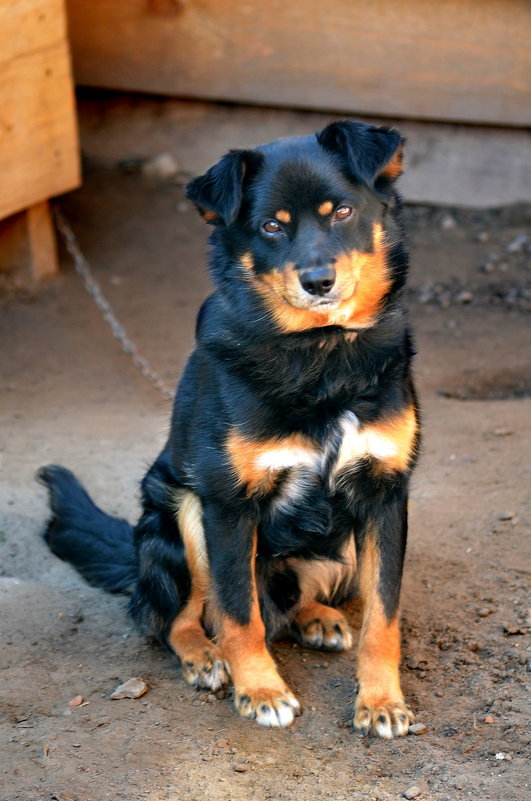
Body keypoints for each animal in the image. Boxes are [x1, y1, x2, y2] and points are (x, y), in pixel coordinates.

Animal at [38, 120, 420, 736]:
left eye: (341, 212)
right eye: (271, 226)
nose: (319, 281)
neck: (323, 355)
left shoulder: (384, 496)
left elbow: (383, 619)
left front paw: (382, 701)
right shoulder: (227, 504)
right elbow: (241, 613)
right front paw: (260, 690)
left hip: (340, 548)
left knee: (290, 601)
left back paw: (317, 617)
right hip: (180, 511)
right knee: (179, 617)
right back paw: (204, 656)